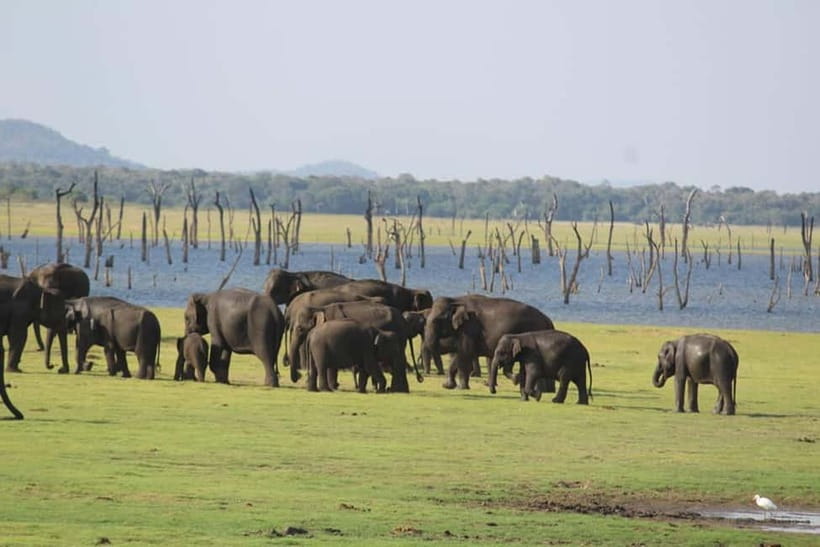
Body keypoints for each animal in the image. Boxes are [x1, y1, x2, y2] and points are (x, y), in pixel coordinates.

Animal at [423, 295, 555, 390]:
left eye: (437, 320)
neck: (455, 300)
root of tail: (548, 320)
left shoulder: (469, 328)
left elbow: (464, 355)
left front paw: (461, 388)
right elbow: (459, 355)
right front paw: (447, 386)